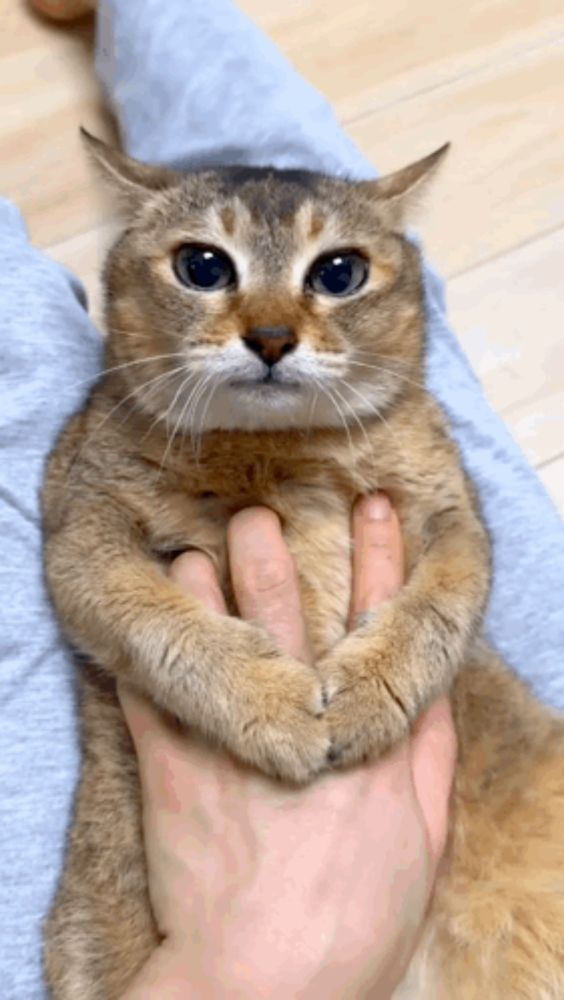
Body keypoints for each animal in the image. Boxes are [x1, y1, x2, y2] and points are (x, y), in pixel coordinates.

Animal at [41, 129, 564, 996]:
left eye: (339, 273)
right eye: (203, 266)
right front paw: (275, 711)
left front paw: (365, 699)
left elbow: (442, 604)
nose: (272, 339)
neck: (277, 449)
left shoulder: (457, 517)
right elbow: (159, 622)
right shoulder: (79, 534)